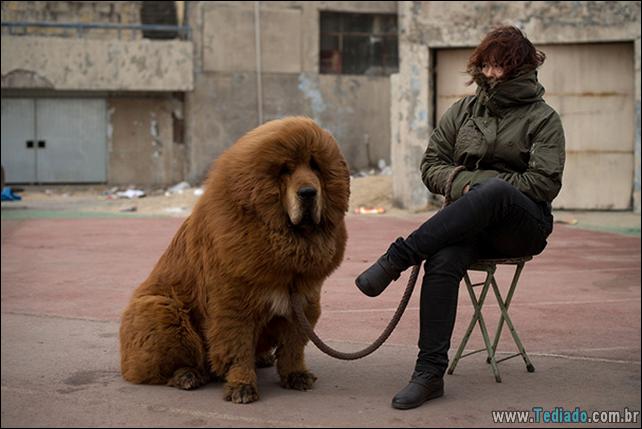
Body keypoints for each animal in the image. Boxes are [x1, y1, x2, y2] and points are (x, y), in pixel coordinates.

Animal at [120, 116, 350, 402]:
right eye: (285, 170)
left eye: (315, 166)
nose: (308, 192)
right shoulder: (233, 304)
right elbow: (237, 348)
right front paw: (242, 386)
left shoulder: (304, 300)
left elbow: (293, 346)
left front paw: (296, 375)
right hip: (161, 309)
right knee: (163, 366)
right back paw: (187, 375)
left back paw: (262, 358)